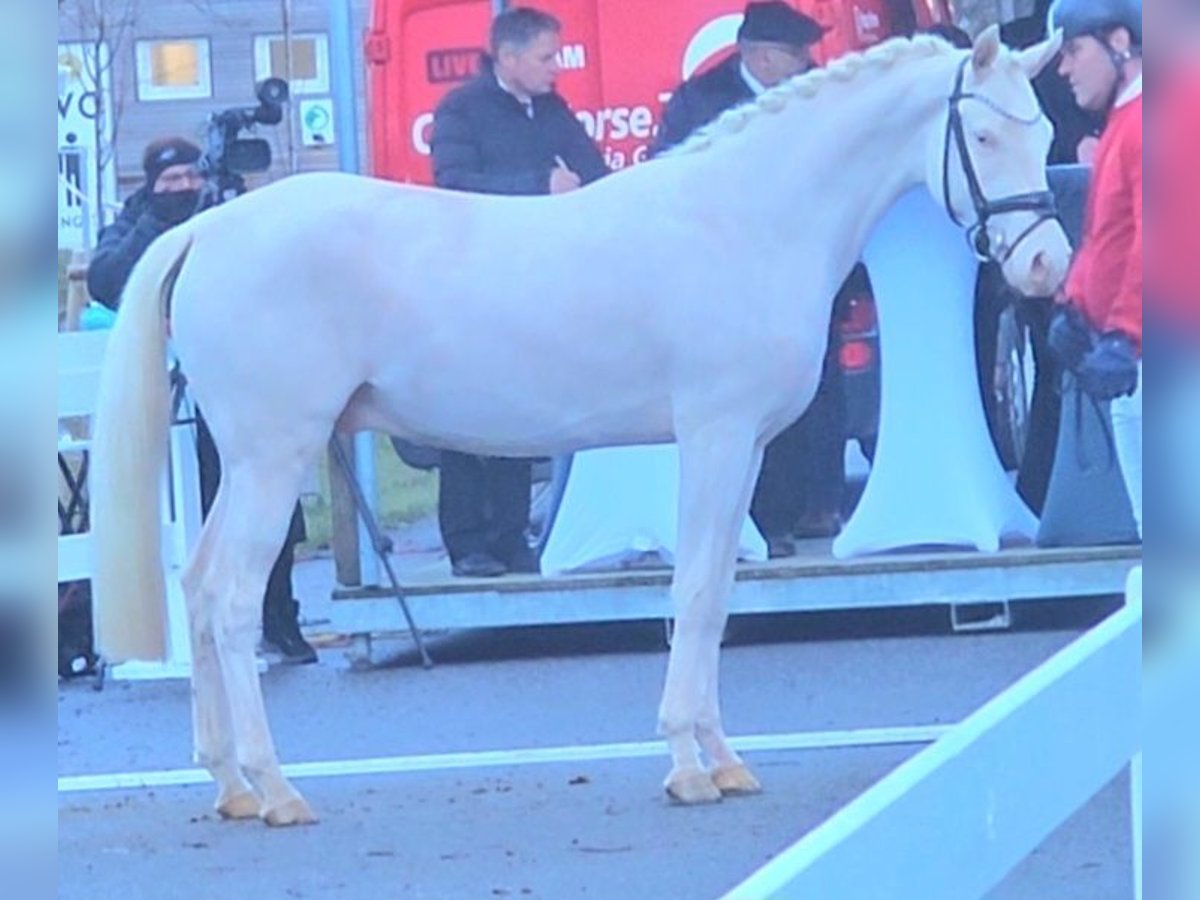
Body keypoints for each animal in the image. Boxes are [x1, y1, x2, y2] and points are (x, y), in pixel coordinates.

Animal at [91, 28, 1070, 830]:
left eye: (1044, 134)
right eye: (984, 138)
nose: (1046, 265)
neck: (746, 219)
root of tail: (212, 226)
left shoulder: (746, 449)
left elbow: (717, 594)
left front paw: (723, 760)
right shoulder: (714, 436)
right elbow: (695, 594)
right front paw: (687, 765)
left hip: (251, 461)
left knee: (199, 585)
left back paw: (229, 784)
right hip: (273, 455)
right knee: (230, 600)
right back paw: (277, 789)